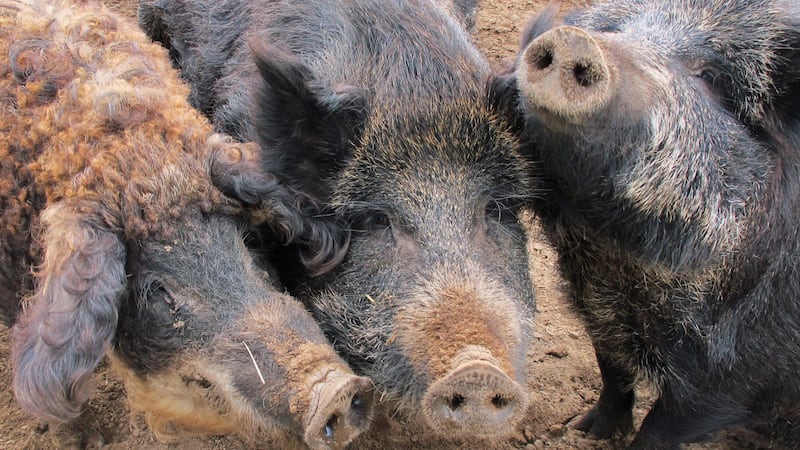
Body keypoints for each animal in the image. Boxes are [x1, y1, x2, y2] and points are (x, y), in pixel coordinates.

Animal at [489, 0, 800, 448]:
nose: (571, 39)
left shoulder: (739, 369)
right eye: (616, 29)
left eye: (710, 77)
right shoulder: (597, 309)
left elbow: (664, 425)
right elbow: (612, 372)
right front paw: (583, 430)